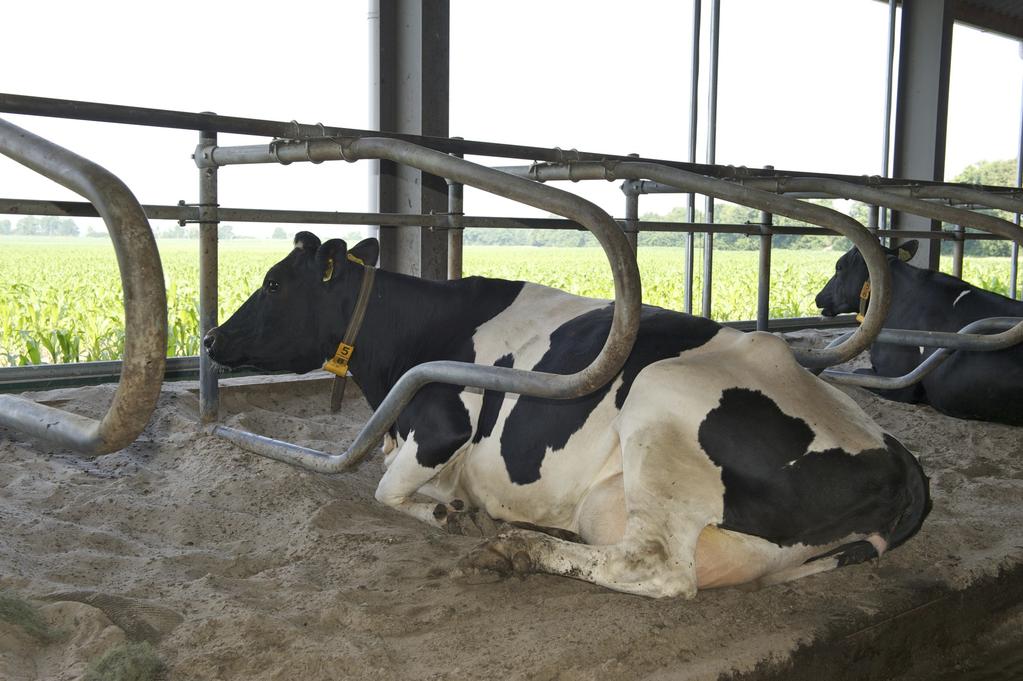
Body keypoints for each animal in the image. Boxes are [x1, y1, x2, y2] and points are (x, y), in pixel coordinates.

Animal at [203, 232, 932, 593]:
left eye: (273, 283)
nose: (208, 340)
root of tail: (898, 460)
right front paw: (452, 504)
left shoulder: (441, 427)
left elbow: (384, 491)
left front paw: (448, 513)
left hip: (659, 401)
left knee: (657, 568)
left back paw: (516, 549)